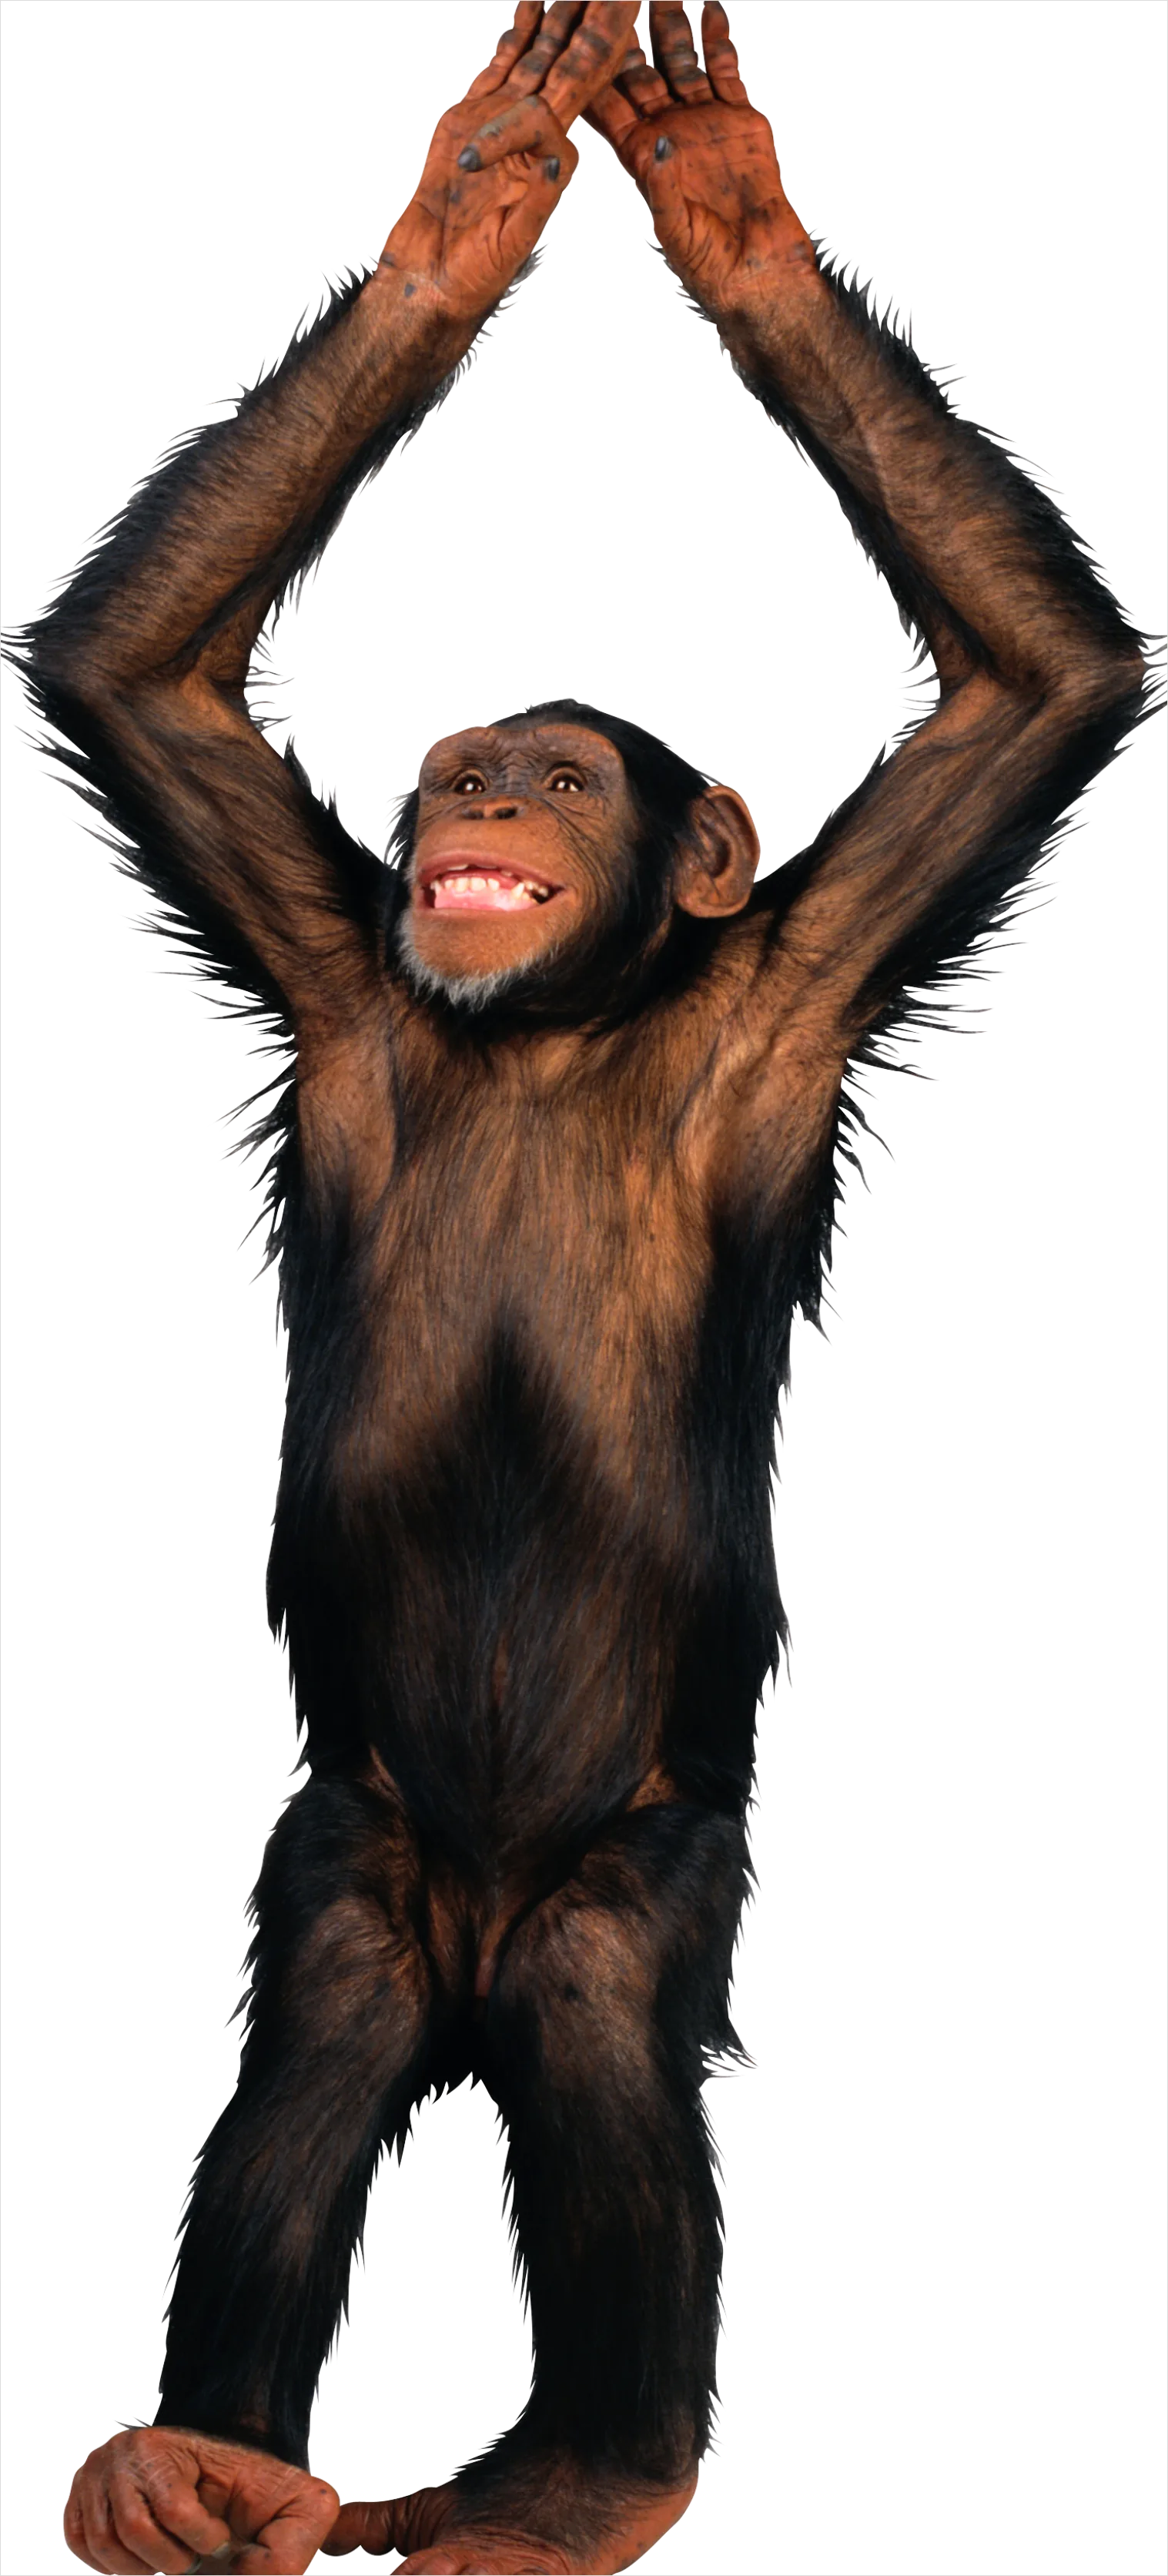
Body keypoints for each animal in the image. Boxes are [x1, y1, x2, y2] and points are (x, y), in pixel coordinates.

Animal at [7, 6, 1162, 2574]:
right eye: (452, 767)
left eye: (546, 769)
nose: (471, 802)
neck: (551, 1022)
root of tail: (463, 1945)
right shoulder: (330, 961)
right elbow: (141, 684)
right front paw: (473, 206)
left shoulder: (809, 981)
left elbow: (1029, 693)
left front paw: (729, 214)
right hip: (350, 1855)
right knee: (303, 2064)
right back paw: (201, 2462)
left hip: (629, 1875)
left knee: (608, 2052)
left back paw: (586, 2473)